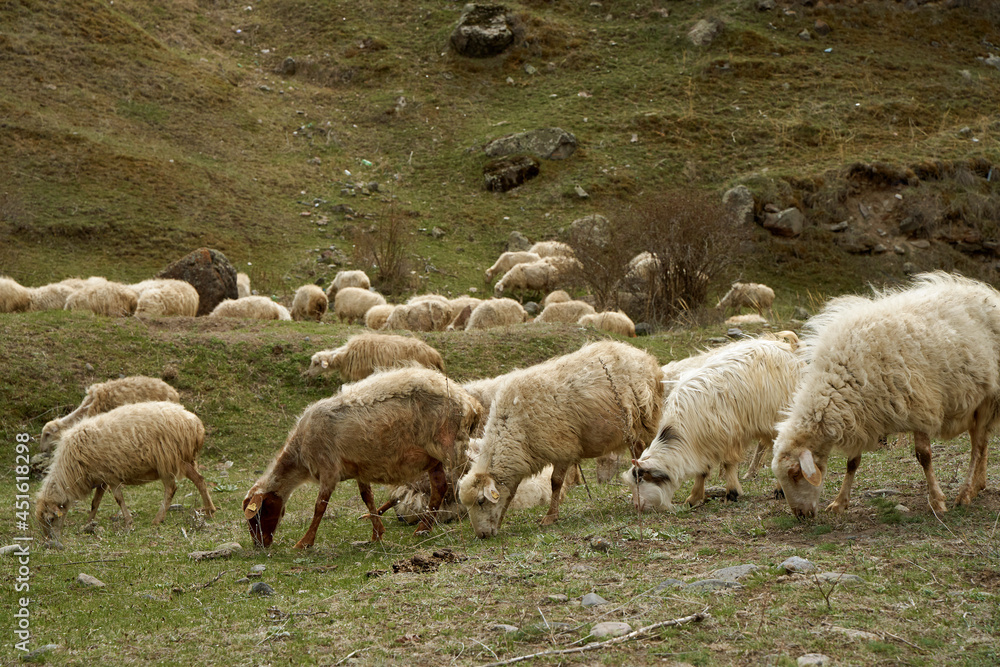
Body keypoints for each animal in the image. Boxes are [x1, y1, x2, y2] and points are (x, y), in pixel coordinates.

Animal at [35, 402, 216, 548]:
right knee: (199, 480)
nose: (49, 541)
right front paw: (88, 523)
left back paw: (158, 519)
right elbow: (95, 502)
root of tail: (196, 424)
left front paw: (128, 522)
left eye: (51, 519)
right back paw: (209, 510)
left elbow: (118, 499)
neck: (70, 469)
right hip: (183, 460)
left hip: (168, 460)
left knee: (171, 488)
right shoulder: (101, 478)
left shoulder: (110, 475)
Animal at [243, 367, 484, 547]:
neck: (300, 452)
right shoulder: (360, 468)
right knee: (440, 487)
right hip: (433, 457)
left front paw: (304, 542)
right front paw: (377, 533)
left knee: (467, 476)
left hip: (452, 446)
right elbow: (367, 498)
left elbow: (320, 506)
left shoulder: (328, 469)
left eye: (259, 514)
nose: (259, 545)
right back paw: (423, 528)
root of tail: (471, 403)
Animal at [458, 340, 664, 537]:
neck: (512, 427)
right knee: (639, 451)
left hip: (644, 418)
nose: (482, 535)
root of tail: (643, 355)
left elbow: (555, 482)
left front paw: (550, 516)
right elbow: (509, 493)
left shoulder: (563, 448)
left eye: (481, 501)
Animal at [623, 336, 803, 512]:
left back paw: (780, 490)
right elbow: (702, 471)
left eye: (640, 479)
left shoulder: (728, 437)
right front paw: (694, 498)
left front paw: (731, 493)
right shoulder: (705, 444)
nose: (637, 506)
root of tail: (792, 349)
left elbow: (728, 464)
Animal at [772, 272, 1000, 518]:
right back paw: (978, 485)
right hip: (976, 401)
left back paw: (965, 494)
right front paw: (840, 502)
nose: (801, 516)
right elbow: (853, 462)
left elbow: (924, 456)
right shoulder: (861, 414)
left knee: (977, 446)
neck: (840, 377)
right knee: (981, 441)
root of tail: (988, 293)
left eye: (796, 473)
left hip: (989, 395)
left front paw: (937, 501)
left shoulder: (919, 406)